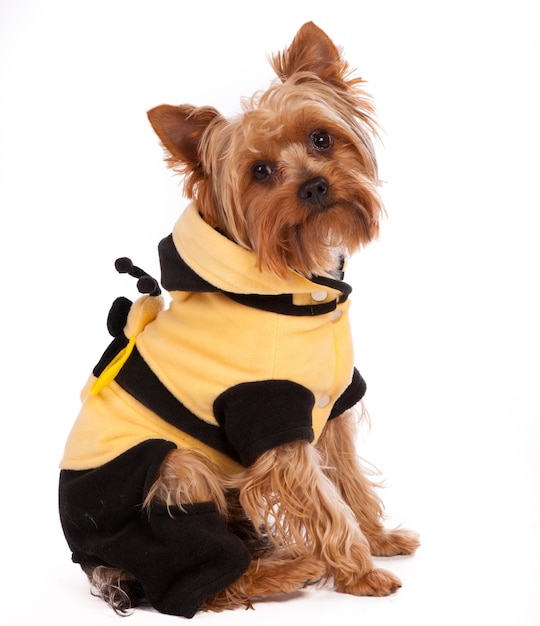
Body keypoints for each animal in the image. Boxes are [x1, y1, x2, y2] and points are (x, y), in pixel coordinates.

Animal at [60, 20, 422, 616]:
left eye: (321, 138)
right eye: (260, 172)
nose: (315, 185)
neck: (296, 279)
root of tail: (94, 563)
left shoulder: (332, 401)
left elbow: (348, 477)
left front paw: (379, 538)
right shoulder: (270, 415)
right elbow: (324, 502)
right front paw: (361, 572)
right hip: (172, 473)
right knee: (199, 583)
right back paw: (287, 569)